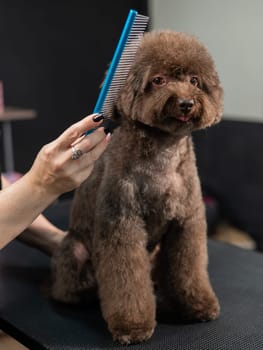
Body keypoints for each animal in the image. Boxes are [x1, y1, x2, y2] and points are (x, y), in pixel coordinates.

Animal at [49, 30, 223, 344]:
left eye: (194, 81)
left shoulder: (187, 222)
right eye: (159, 80)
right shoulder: (121, 223)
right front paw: (132, 325)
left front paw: (199, 305)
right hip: (75, 250)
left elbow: (190, 267)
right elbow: (126, 280)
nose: (186, 103)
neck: (164, 151)